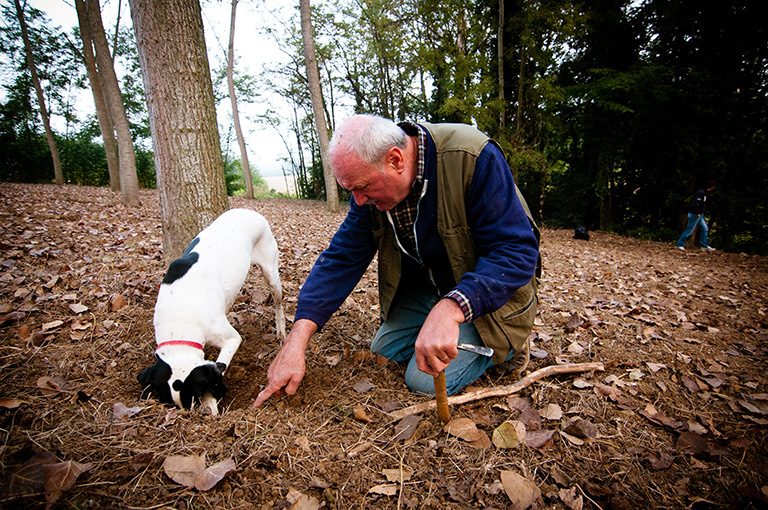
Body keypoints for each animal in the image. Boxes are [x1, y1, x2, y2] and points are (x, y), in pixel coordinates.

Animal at [137, 207, 284, 414]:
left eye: (195, 395)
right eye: (171, 403)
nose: (190, 413)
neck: (180, 319)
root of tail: (248, 210)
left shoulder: (231, 339)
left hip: (270, 271)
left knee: (278, 302)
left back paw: (281, 331)